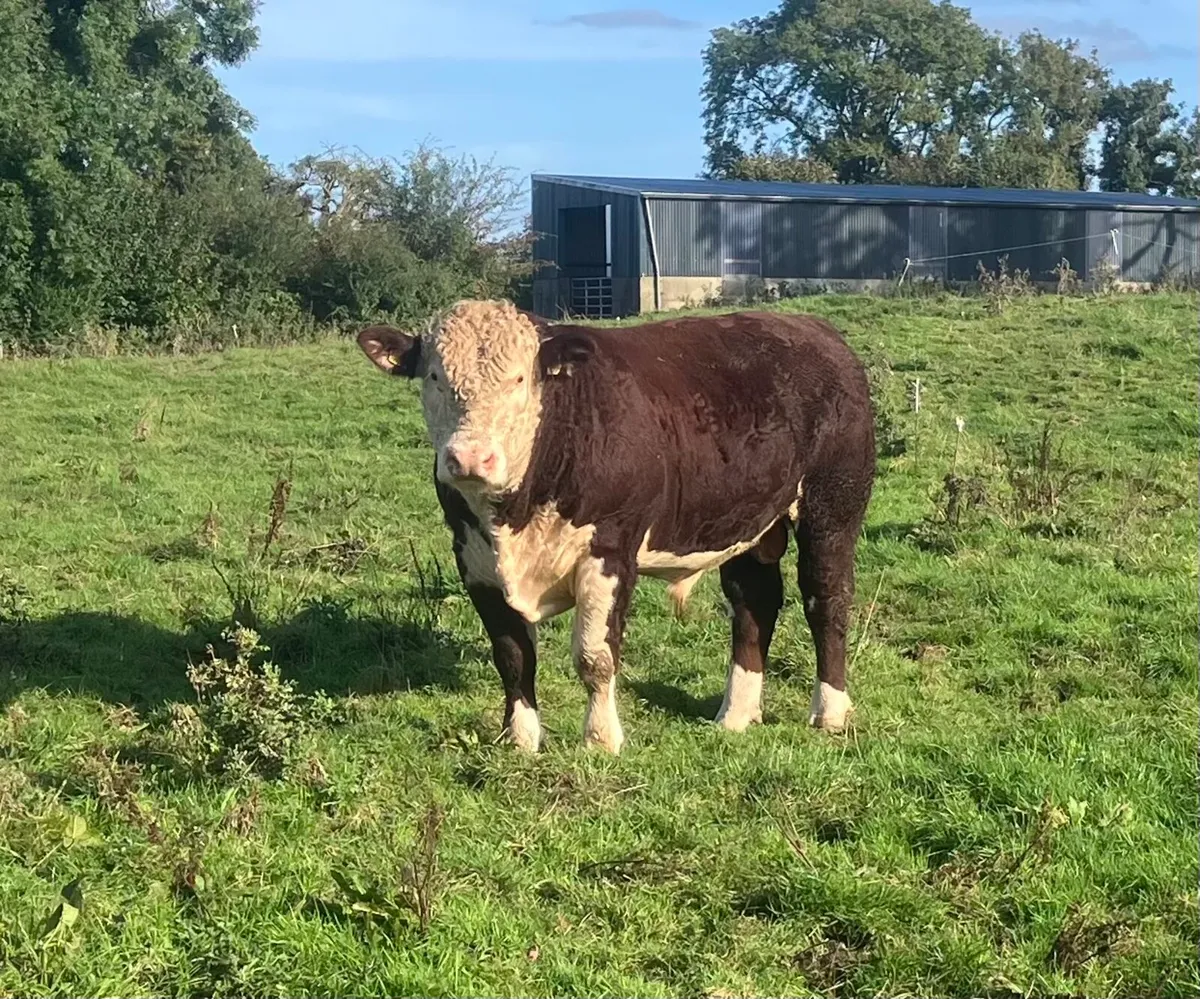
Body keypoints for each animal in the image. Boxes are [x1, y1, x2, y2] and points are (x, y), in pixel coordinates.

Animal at [357, 299, 875, 754]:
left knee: (826, 601)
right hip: (750, 522)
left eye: (520, 378)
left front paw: (601, 740)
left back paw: (829, 711)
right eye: (434, 376)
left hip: (833, 507)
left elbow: (595, 657)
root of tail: (814, 329)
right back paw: (735, 715)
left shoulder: (609, 549)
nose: (469, 457)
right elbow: (512, 656)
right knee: (754, 604)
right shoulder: (475, 561)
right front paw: (520, 741)